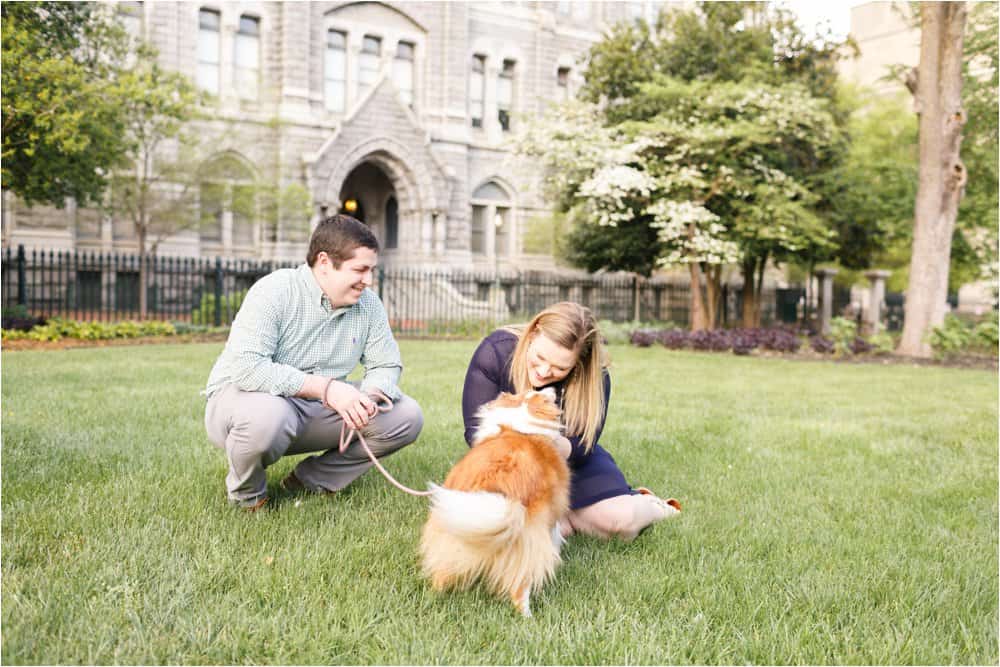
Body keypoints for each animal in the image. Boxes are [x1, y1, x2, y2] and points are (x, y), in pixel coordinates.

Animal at [418, 388, 572, 620]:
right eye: (539, 394)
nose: (553, 389)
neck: (520, 429)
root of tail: (491, 477)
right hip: (526, 536)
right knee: (520, 585)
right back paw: (529, 617)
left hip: (455, 525)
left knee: (443, 569)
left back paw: (433, 598)